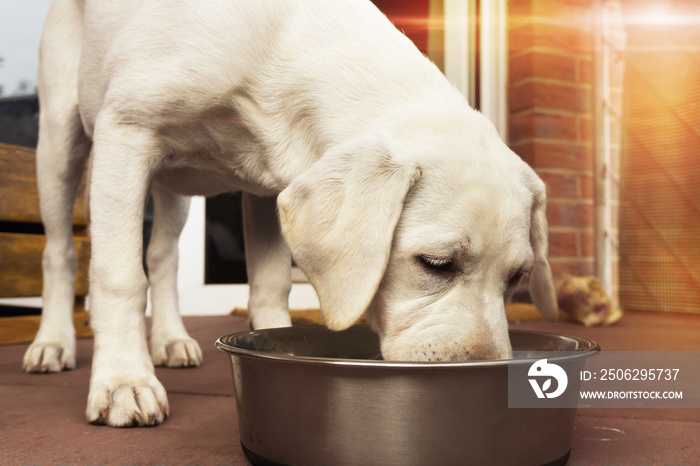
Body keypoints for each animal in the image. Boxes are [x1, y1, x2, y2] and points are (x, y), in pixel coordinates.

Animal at [23, 0, 556, 426]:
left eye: (516, 279)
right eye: (436, 264)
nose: (487, 371)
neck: (281, 45)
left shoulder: (267, 188)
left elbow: (270, 283)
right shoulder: (126, 130)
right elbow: (118, 278)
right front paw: (122, 383)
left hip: (172, 188)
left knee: (162, 257)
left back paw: (171, 340)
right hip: (60, 141)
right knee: (59, 252)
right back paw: (53, 343)